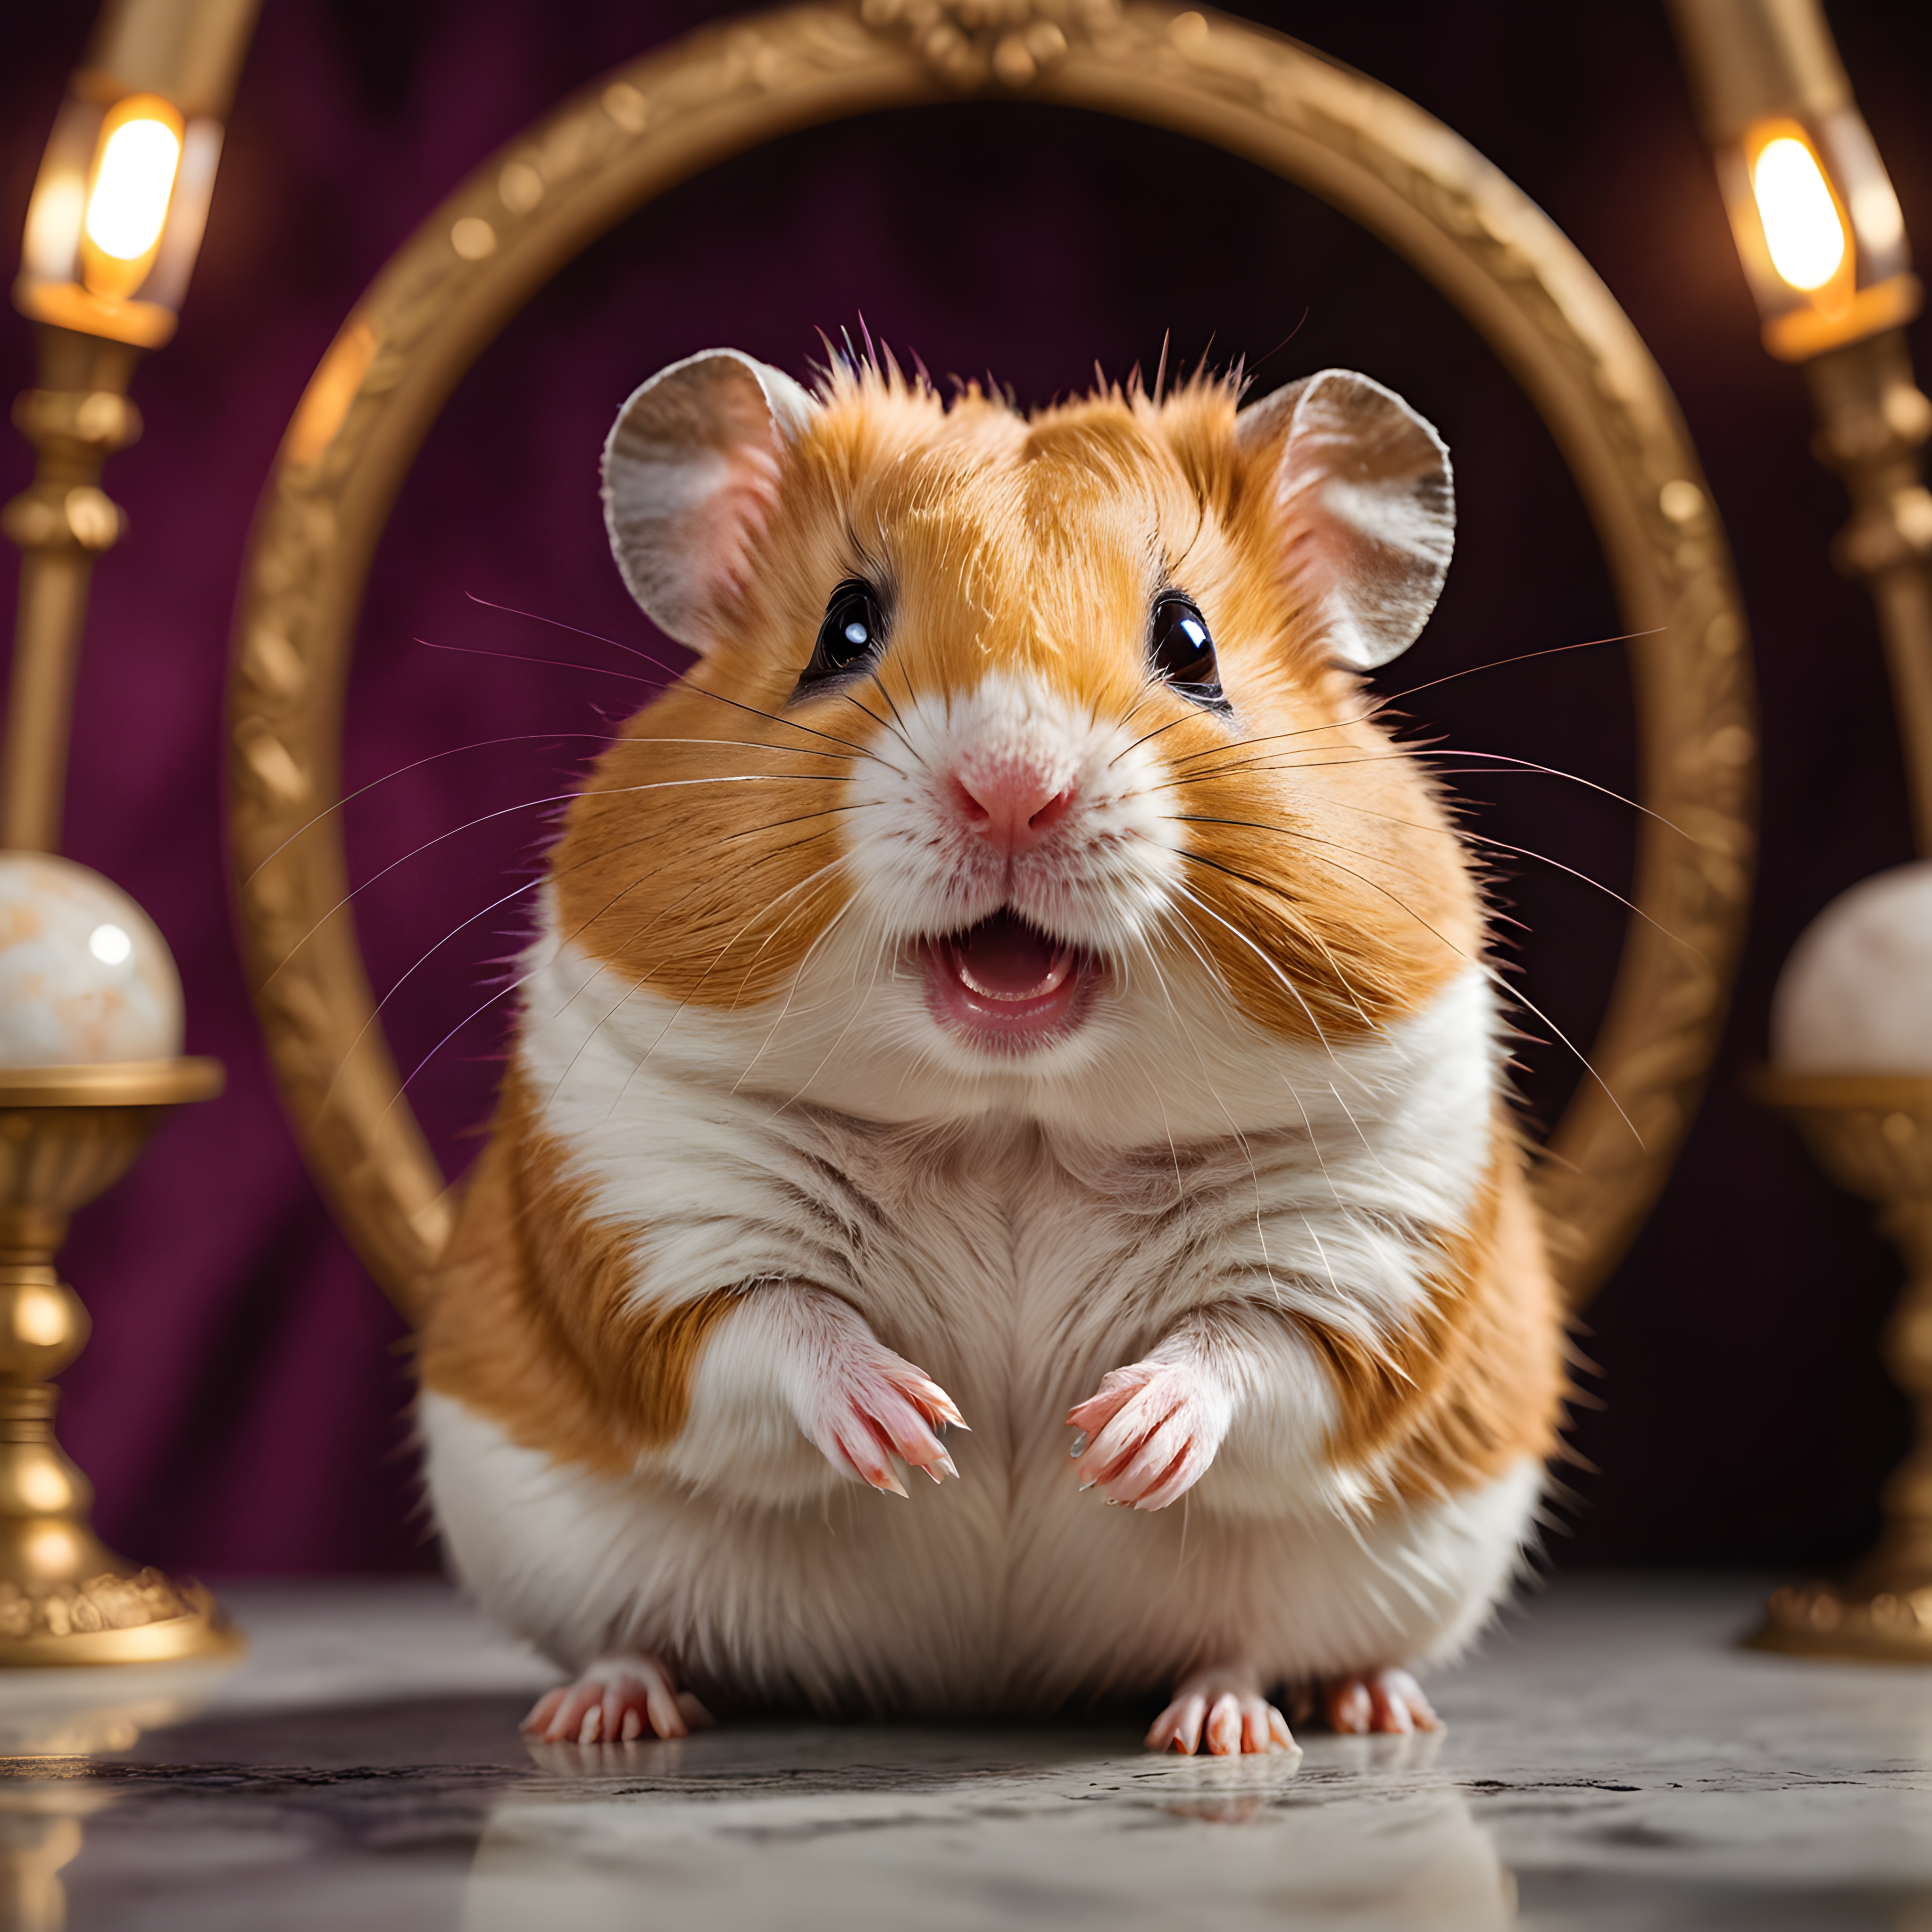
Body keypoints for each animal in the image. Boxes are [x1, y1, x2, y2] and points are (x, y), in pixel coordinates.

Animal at [416, 347, 1565, 1755]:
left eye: (1191, 641)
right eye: (844, 629)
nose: (1012, 789)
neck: (1012, 1124)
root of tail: (982, 1684)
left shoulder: (1366, 1254)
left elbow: (1252, 1348)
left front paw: (1118, 1442)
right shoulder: (649, 1220)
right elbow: (772, 1323)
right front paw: (917, 1430)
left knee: (1260, 1647)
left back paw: (1292, 1714)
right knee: (632, 1632)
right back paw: (607, 1710)